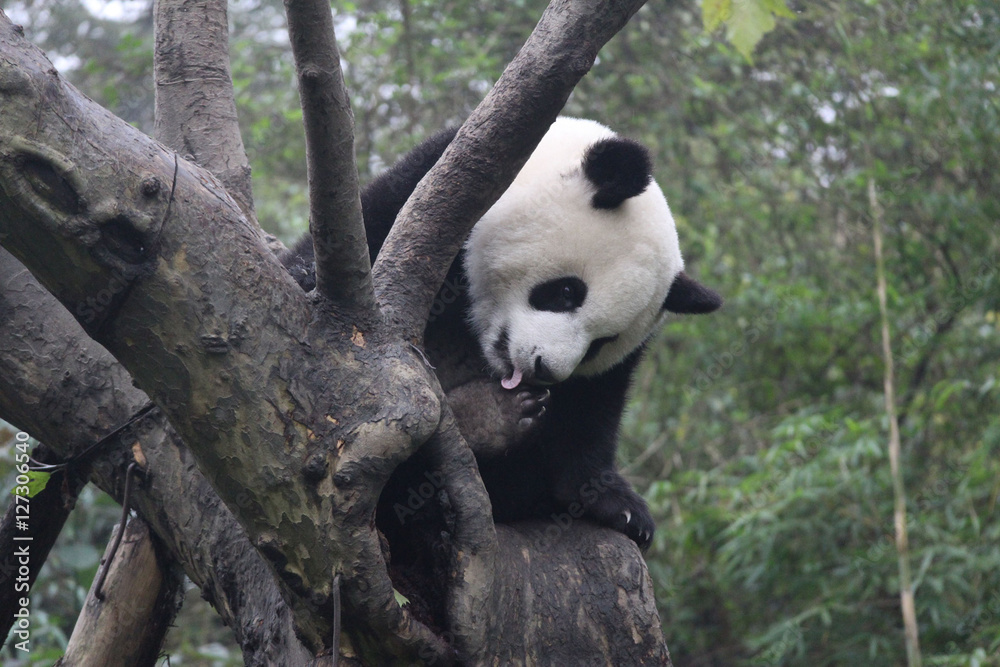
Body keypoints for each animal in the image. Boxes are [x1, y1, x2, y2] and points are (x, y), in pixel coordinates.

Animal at [283, 117, 721, 552]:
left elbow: (591, 407)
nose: (545, 369)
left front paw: (618, 505)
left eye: (601, 343)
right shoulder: (423, 198)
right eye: (566, 292)